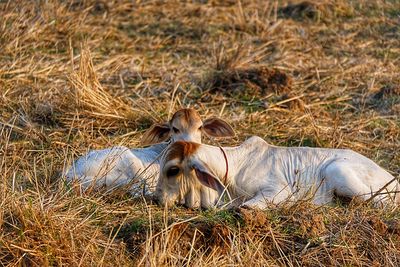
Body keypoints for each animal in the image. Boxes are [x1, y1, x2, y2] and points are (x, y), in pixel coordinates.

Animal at [155, 137, 398, 210]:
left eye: (173, 170)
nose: (158, 198)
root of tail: (393, 180)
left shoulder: (278, 191)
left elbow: (247, 207)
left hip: (338, 171)